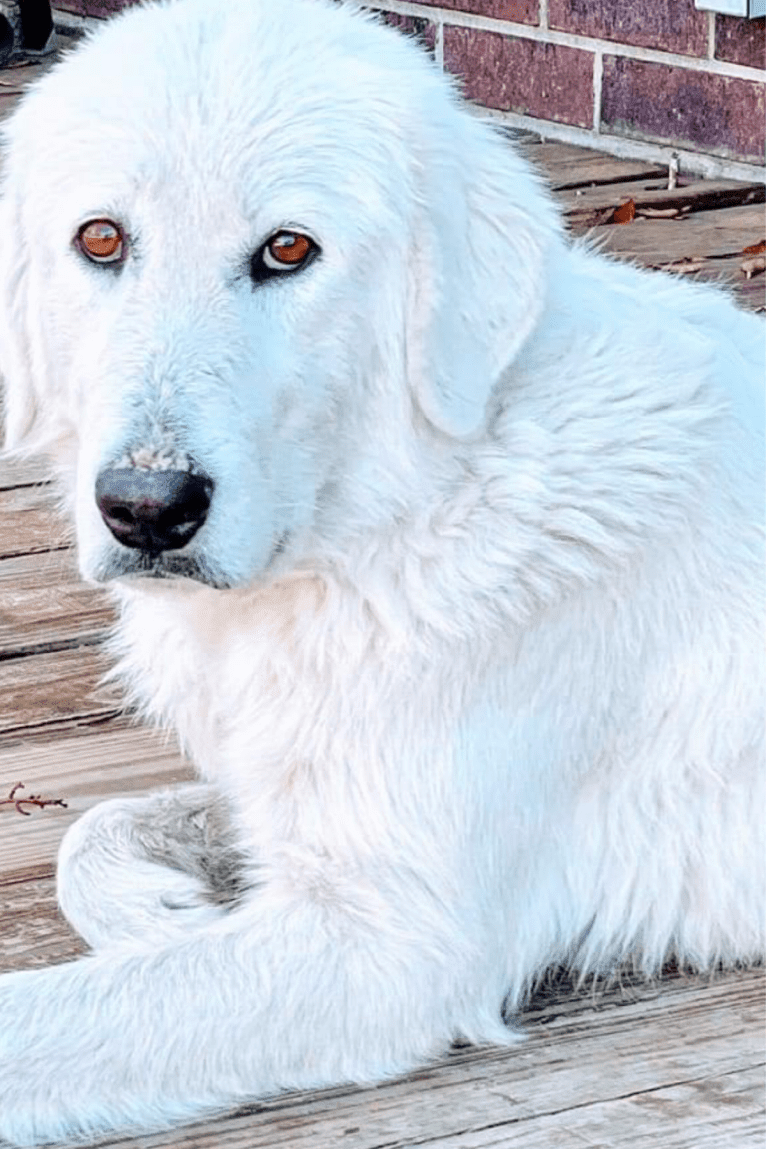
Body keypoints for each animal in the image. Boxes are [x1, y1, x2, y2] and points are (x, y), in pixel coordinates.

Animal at [1, 0, 766, 1144]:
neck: (412, 511)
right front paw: (162, 908)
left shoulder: (388, 944)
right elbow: (95, 830)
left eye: (288, 249)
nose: (147, 509)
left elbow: (38, 1027)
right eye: (101, 240)